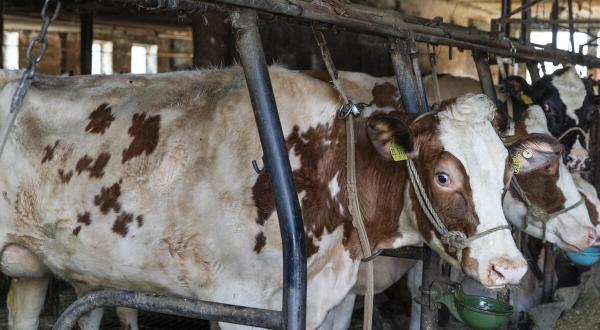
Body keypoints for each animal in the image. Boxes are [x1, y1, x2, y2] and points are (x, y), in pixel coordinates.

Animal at [0, 65, 556, 330]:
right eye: (442, 176)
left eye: (505, 175)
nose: (509, 268)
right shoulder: (240, 305)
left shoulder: (328, 302)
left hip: (30, 265)